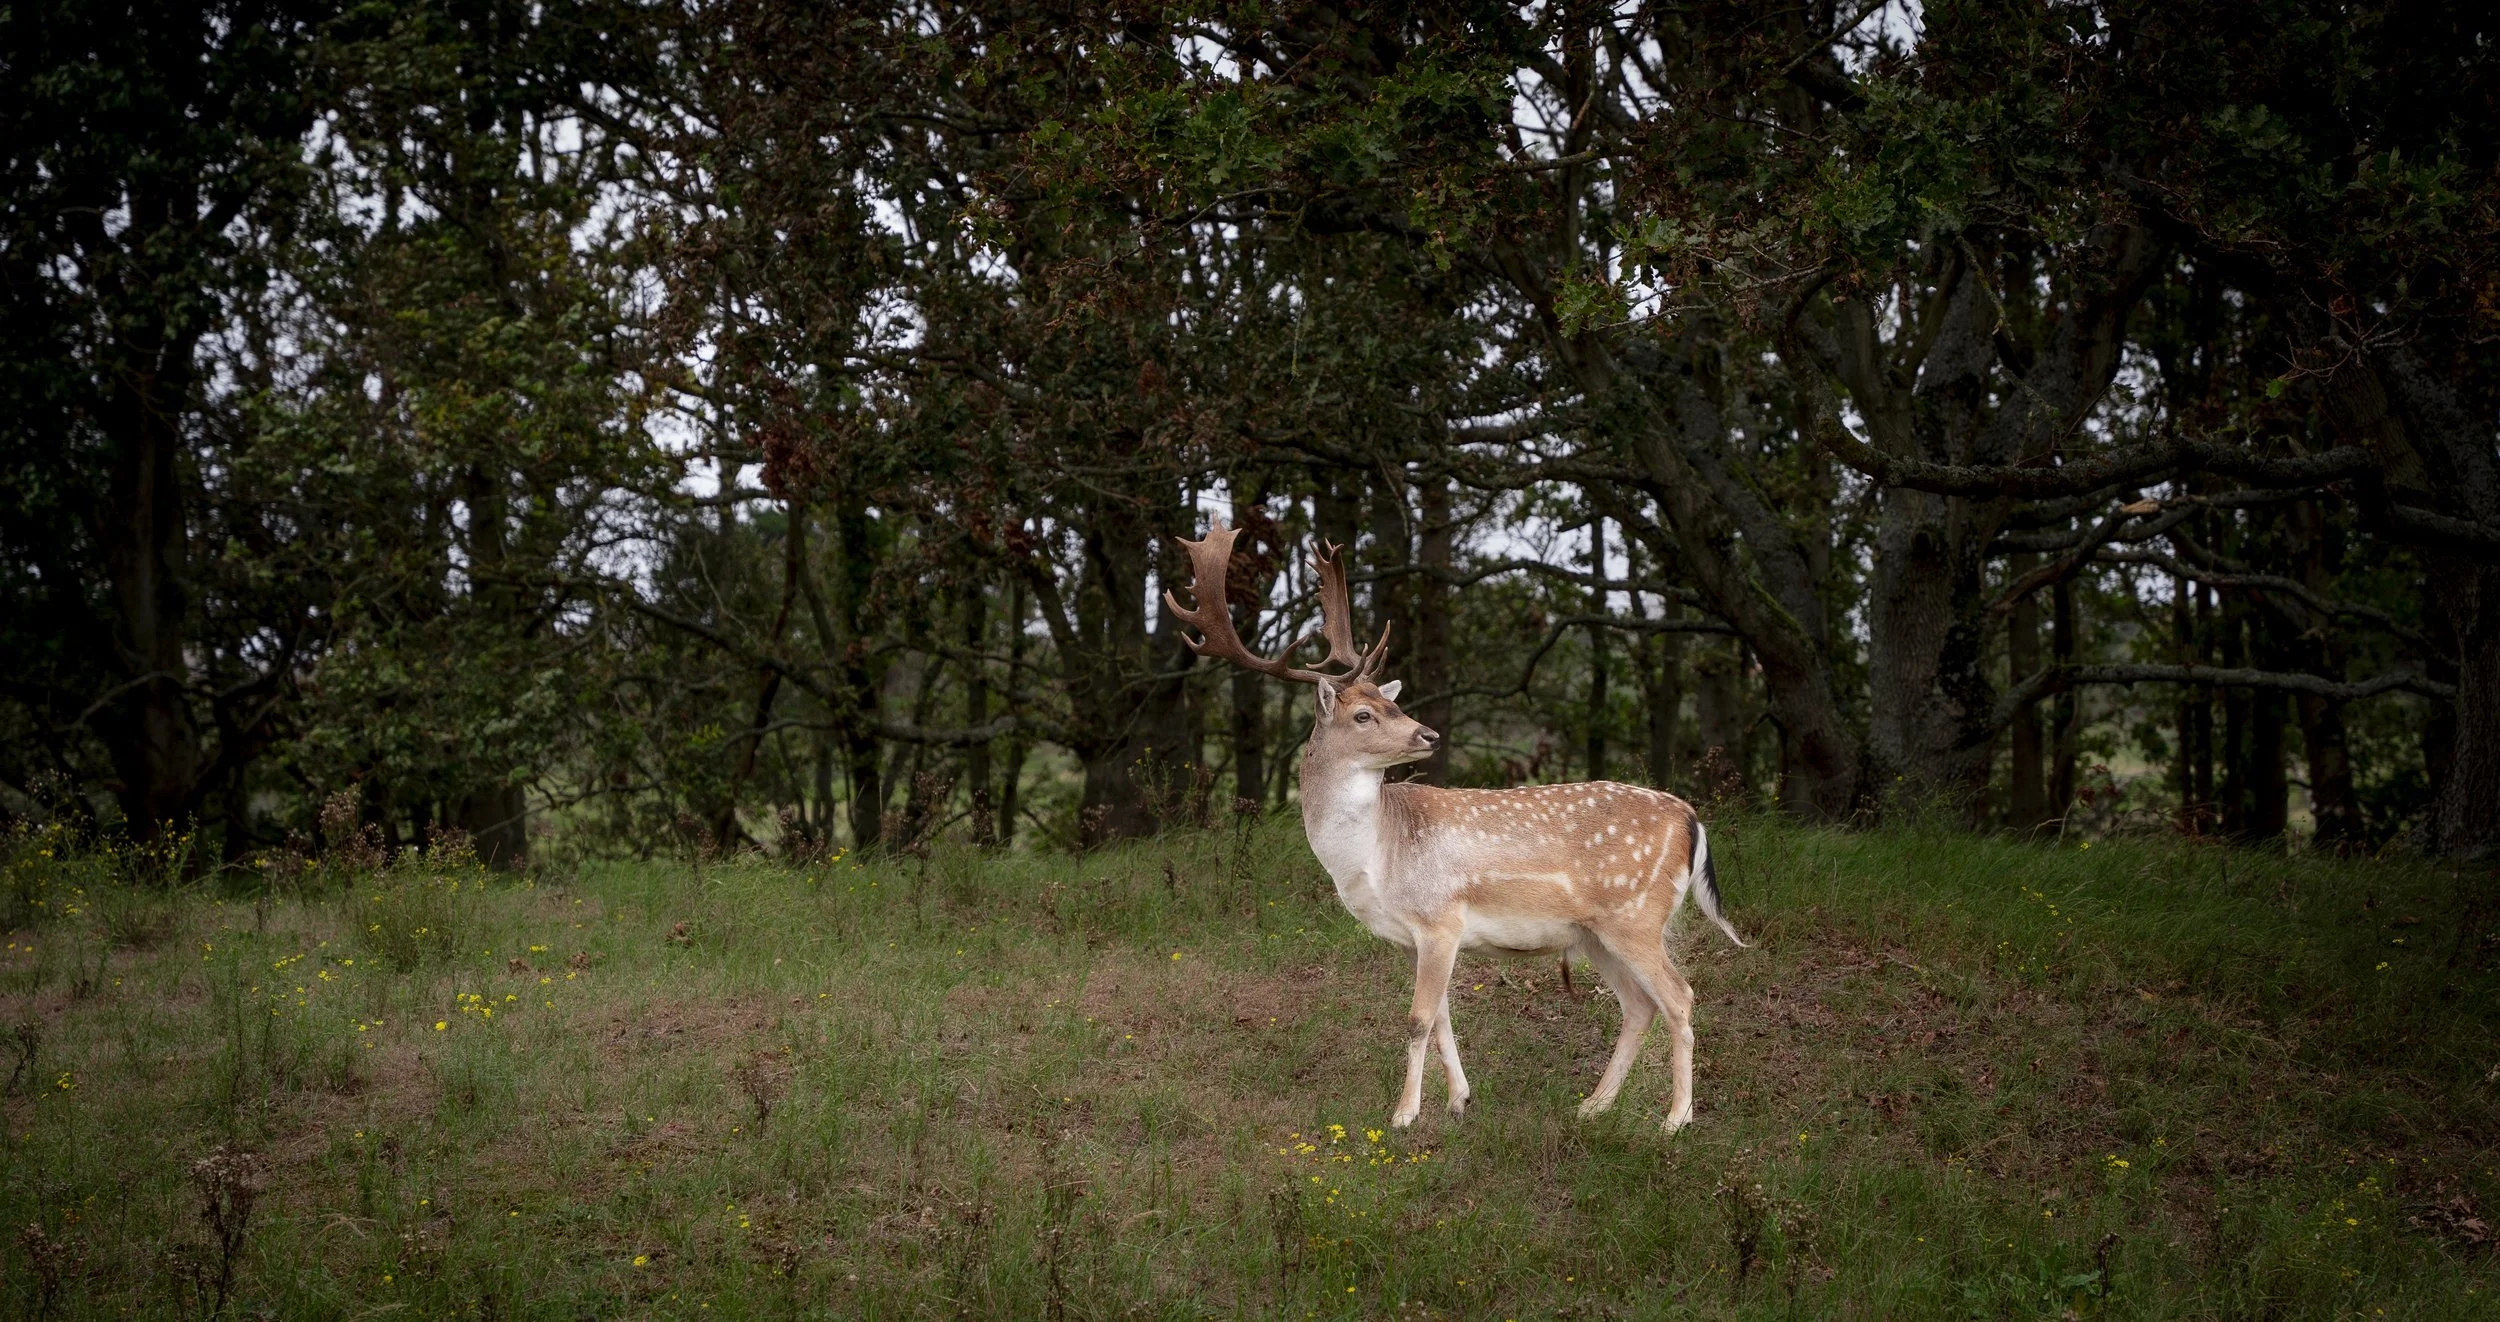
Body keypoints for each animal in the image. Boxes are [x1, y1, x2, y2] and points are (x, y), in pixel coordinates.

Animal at [1165, 518, 1750, 1132]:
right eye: (1365, 714)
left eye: (1391, 705)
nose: (1428, 734)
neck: (1376, 857)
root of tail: (1691, 818)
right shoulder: (1412, 937)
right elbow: (1441, 1017)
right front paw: (1457, 1101)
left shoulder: (1440, 918)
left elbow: (1418, 1019)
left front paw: (1403, 1115)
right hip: (1595, 933)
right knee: (1639, 1006)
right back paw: (1593, 1104)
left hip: (1636, 916)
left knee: (1679, 996)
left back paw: (1675, 1119)